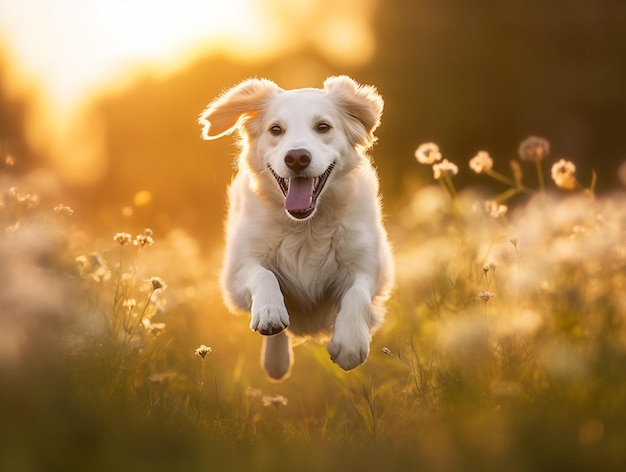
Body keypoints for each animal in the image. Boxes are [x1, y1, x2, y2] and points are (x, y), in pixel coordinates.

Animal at [197, 75, 392, 382]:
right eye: (275, 129)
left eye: (323, 126)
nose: (297, 157)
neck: (305, 227)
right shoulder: (235, 276)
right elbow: (263, 274)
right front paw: (269, 310)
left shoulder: (374, 268)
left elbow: (358, 292)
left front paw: (350, 343)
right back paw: (276, 361)